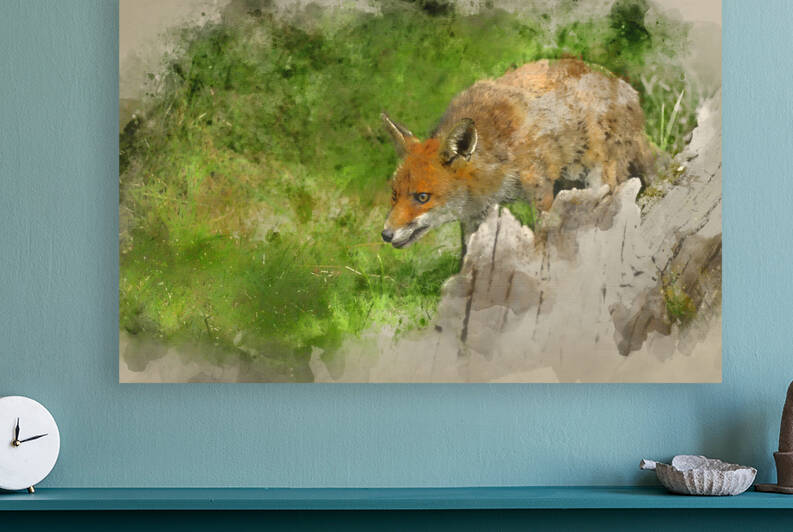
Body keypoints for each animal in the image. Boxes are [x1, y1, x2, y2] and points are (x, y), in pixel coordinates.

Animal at [380, 58, 653, 253]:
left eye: (422, 197)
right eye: (394, 195)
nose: (385, 234)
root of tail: (629, 91)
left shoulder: (540, 187)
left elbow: (543, 234)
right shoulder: (477, 213)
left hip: (599, 180)